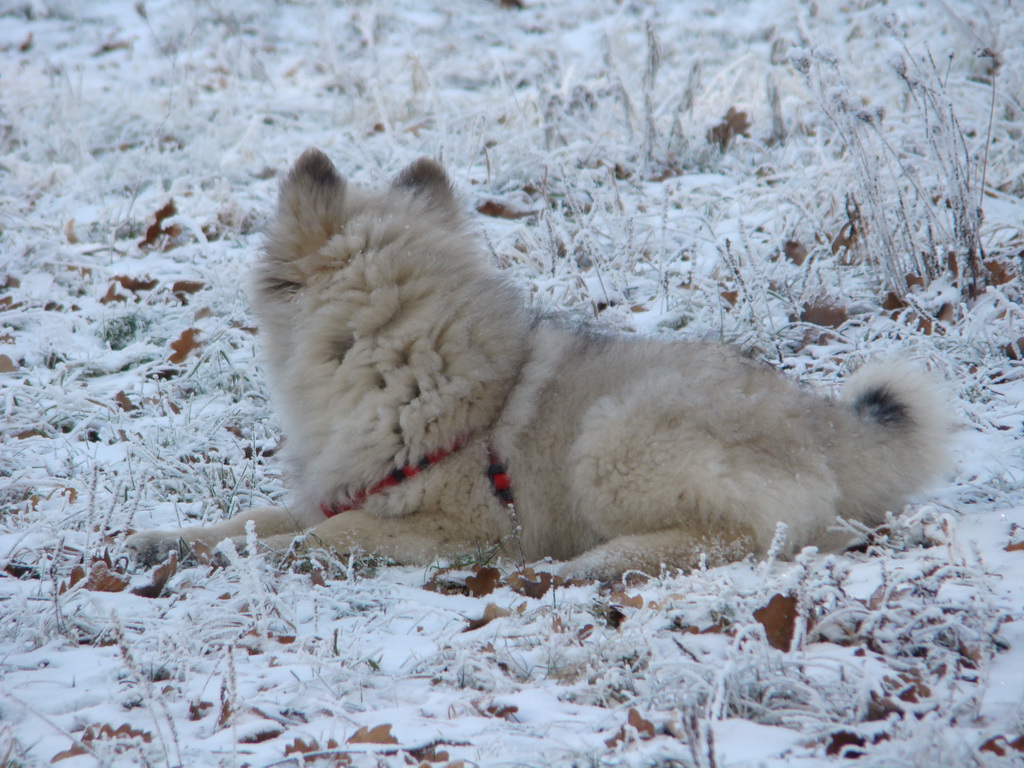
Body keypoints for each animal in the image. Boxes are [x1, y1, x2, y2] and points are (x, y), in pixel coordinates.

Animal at [125, 150, 950, 581]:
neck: (398, 364)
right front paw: (171, 541)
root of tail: (828, 427)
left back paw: (591, 564)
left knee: (757, 536)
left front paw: (261, 559)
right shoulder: (337, 489)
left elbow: (323, 536)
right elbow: (250, 520)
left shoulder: (459, 527)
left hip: (615, 438)